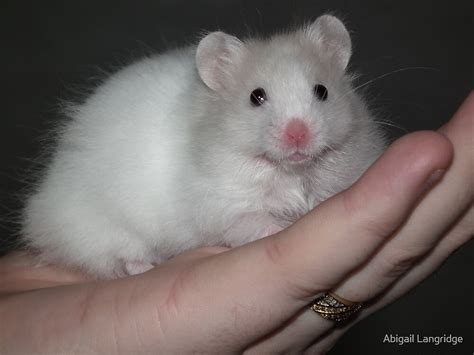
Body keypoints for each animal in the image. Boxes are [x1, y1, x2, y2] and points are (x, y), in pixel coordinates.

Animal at [21, 15, 386, 280]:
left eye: (322, 91)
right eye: (256, 97)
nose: (298, 135)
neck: (285, 169)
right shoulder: (222, 207)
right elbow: (252, 221)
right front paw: (282, 227)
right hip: (96, 228)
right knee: (112, 257)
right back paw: (144, 265)